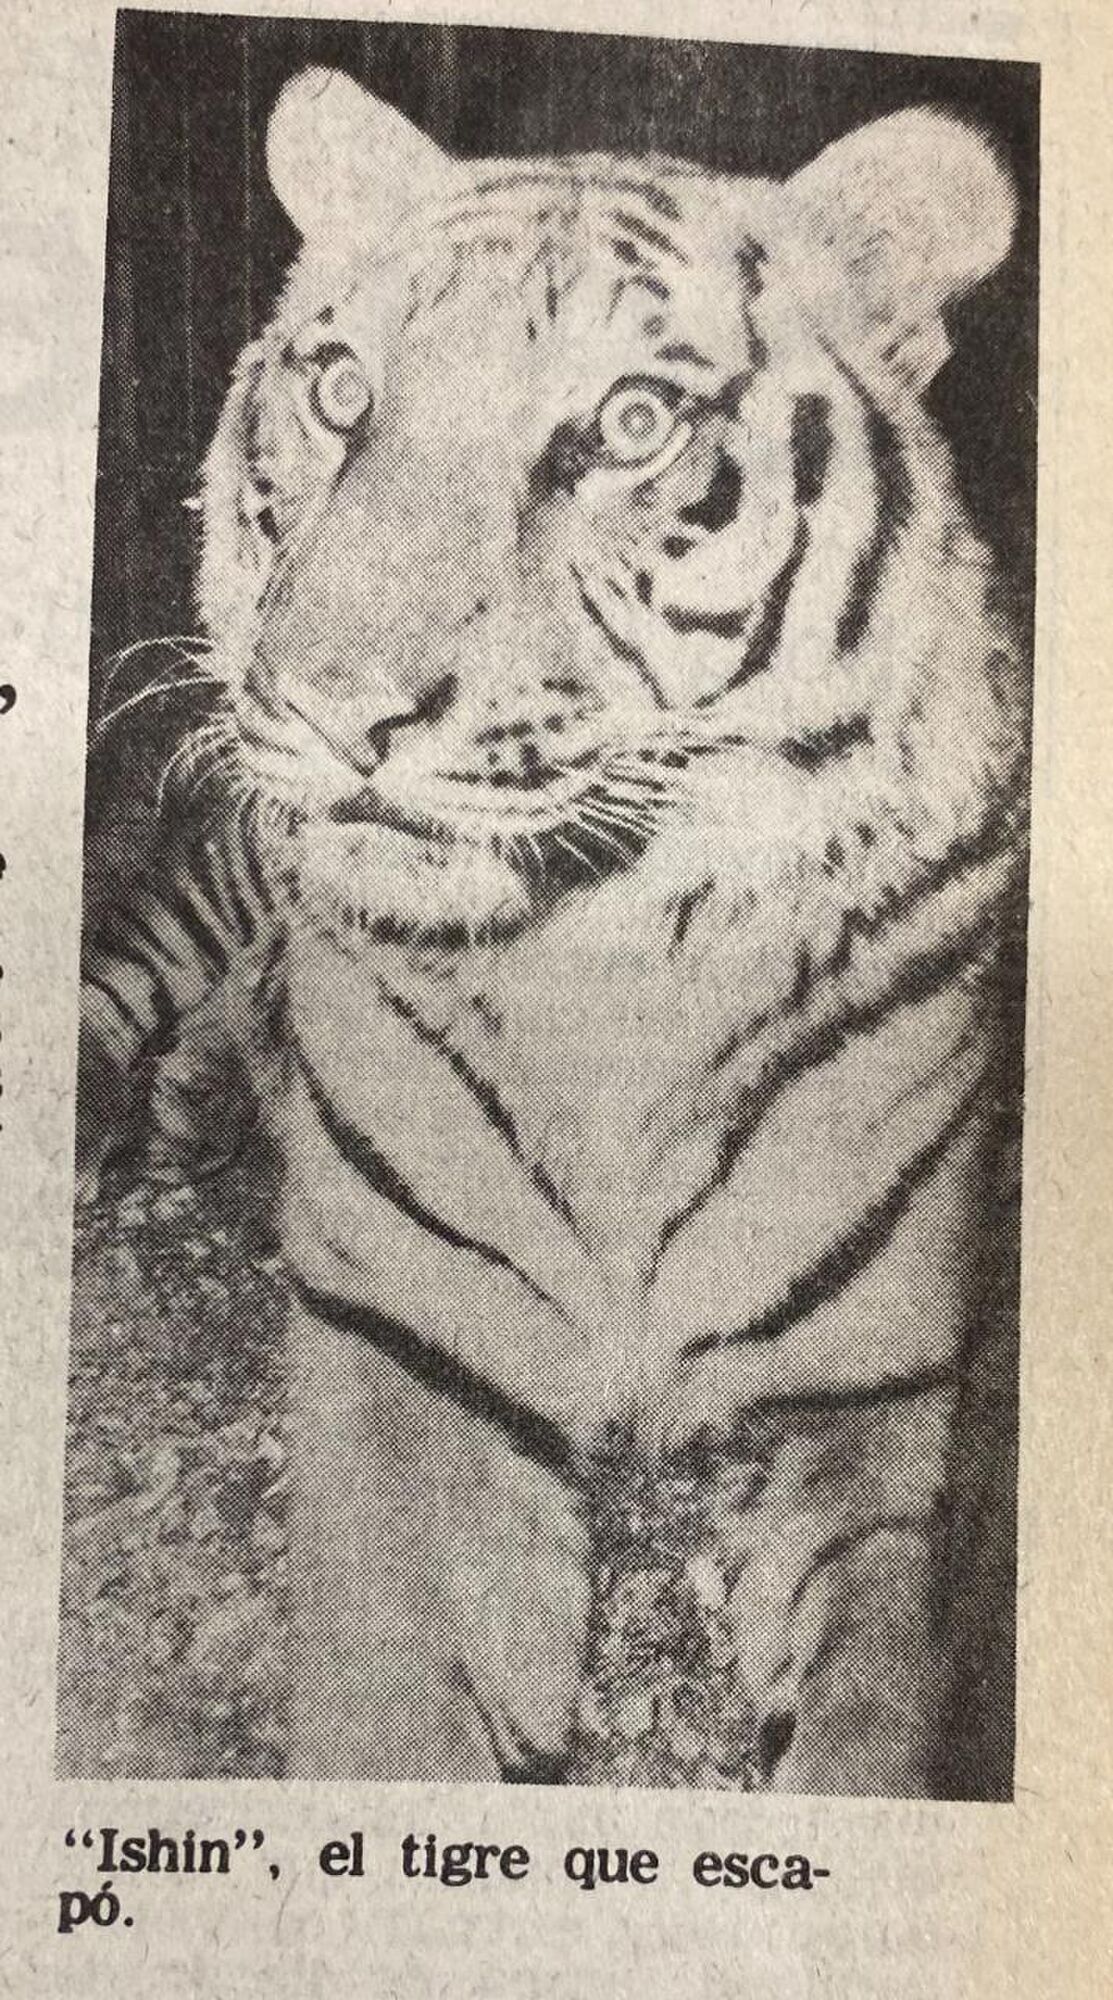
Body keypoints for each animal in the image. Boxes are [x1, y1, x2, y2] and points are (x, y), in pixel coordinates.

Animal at [75, 65, 1028, 1793]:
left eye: (632, 425)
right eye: (341, 393)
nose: (332, 703)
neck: (618, 965)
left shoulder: (883, 1387)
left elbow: (878, 1715)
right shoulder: (402, 1342)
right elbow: (391, 1701)